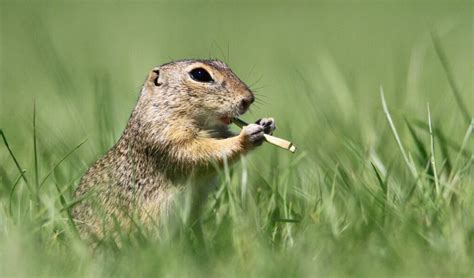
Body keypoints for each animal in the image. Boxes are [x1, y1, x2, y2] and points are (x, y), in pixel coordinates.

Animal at [72, 59, 276, 236]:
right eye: (200, 74)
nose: (249, 99)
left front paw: (266, 124)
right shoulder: (167, 139)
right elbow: (202, 152)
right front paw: (247, 136)